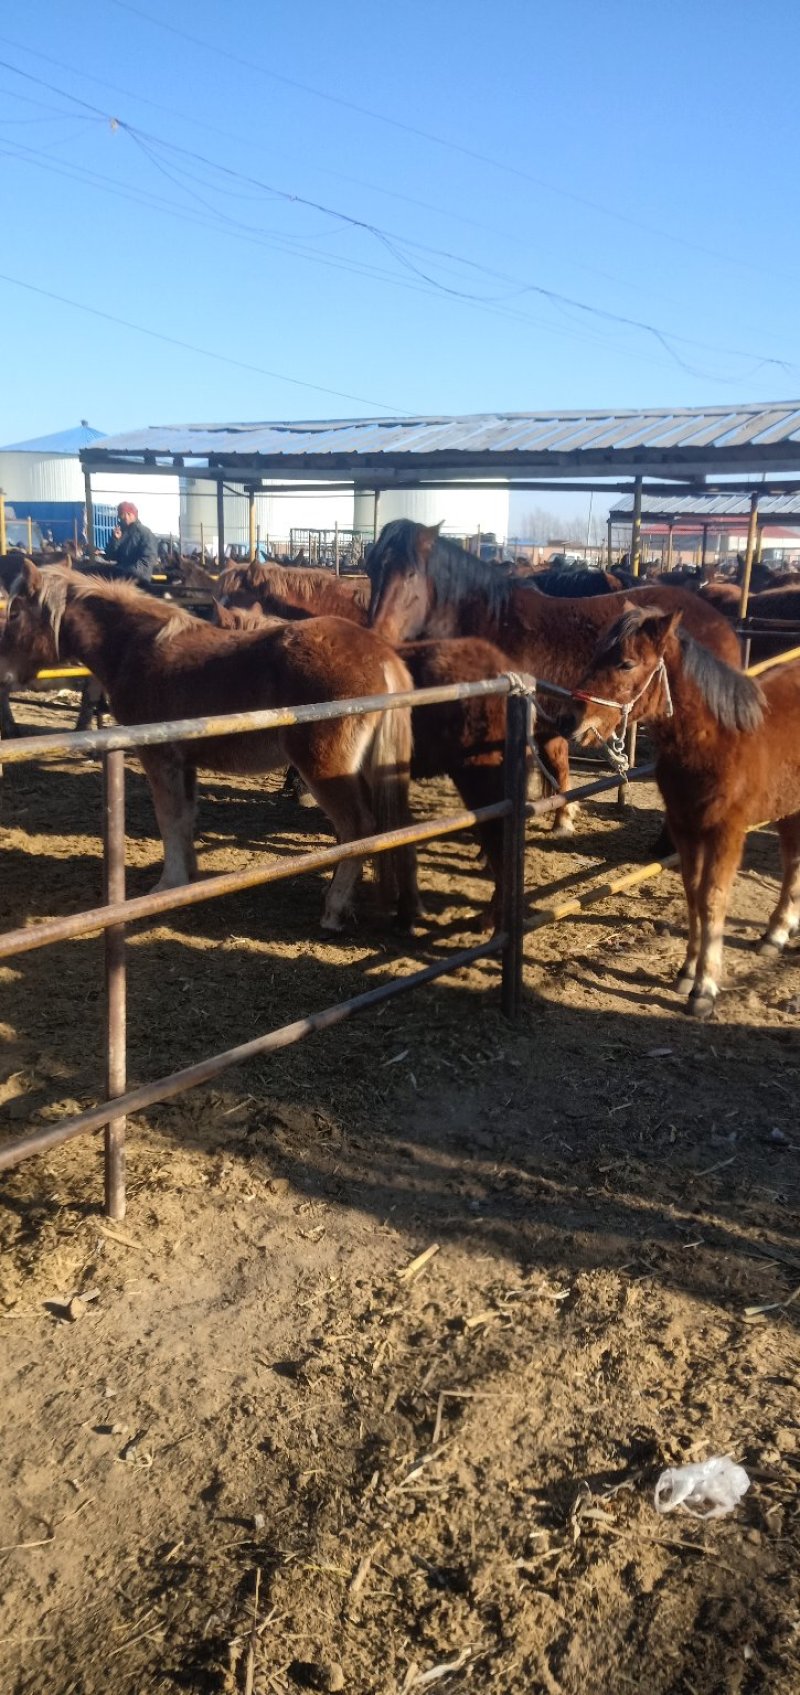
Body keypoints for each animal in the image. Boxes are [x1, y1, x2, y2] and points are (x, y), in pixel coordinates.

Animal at [0, 562, 419, 932]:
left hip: (322, 767)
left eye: (15, 613)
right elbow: (185, 817)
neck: (138, 649)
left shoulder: (159, 758)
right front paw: (189, 877)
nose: (4, 675)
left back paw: (334, 909)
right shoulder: (184, 762)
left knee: (357, 827)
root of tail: (381, 654)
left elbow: (168, 817)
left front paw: (167, 885)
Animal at [365, 520, 741, 832]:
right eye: (370, 571)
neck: (492, 622)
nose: (377, 635)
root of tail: (721, 622)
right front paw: (562, 815)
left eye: (411, 574)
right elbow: (558, 767)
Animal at [555, 600, 800, 1018]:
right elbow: (692, 893)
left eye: (626, 663)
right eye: (596, 653)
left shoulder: (726, 833)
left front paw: (705, 988)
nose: (569, 719)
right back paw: (777, 932)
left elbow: (713, 899)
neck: (715, 740)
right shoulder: (684, 827)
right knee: (791, 862)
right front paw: (687, 972)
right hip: (788, 809)